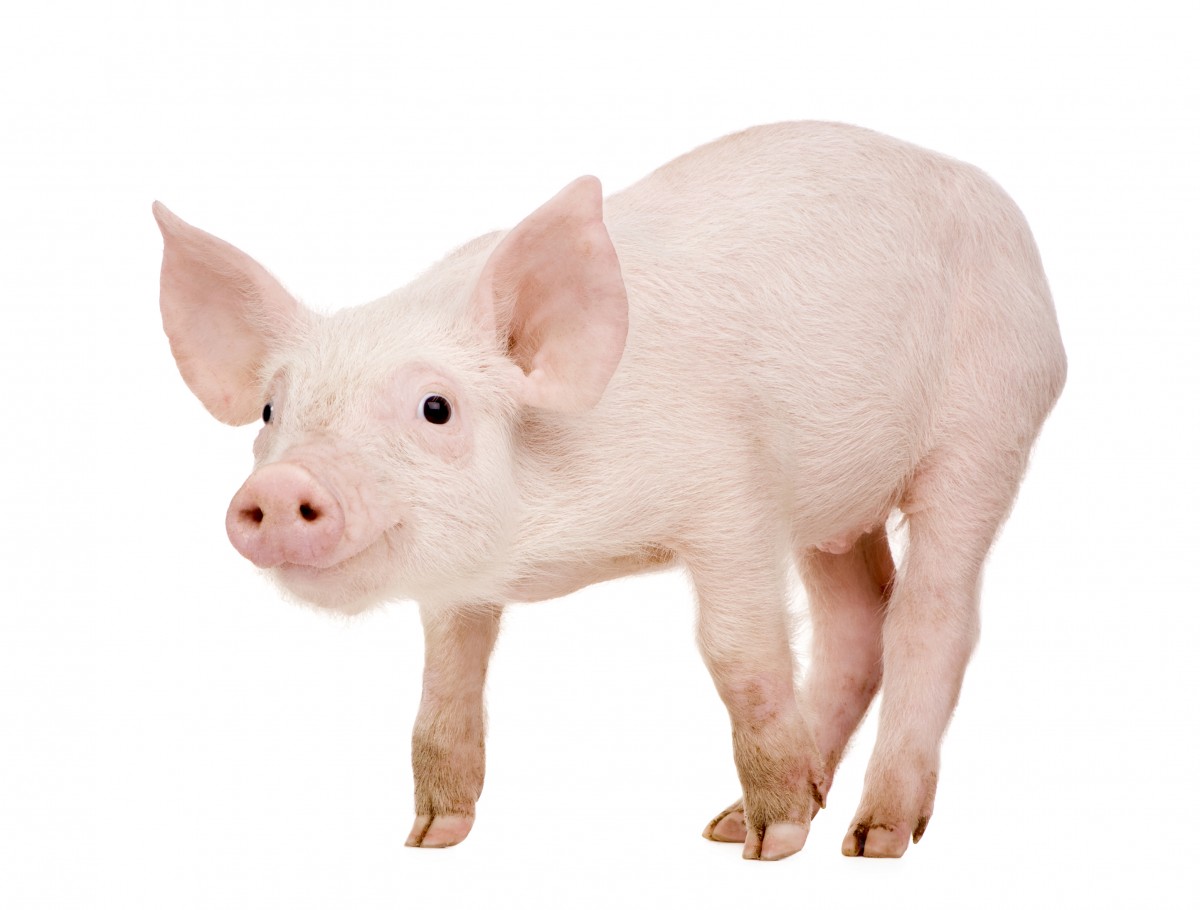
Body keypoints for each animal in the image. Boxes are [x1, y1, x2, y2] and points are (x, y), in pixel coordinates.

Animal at [154, 121, 1066, 861]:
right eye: (270, 410)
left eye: (435, 407)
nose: (281, 485)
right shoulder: (462, 584)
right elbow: (445, 682)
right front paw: (431, 836)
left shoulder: (733, 498)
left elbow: (736, 654)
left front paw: (774, 846)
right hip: (833, 507)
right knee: (856, 622)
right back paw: (732, 821)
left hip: (987, 426)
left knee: (933, 618)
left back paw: (867, 839)